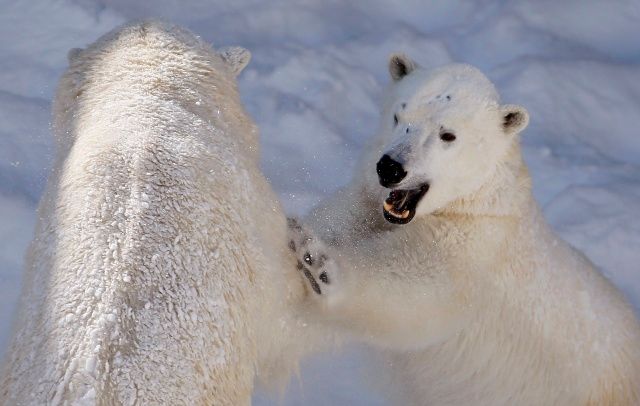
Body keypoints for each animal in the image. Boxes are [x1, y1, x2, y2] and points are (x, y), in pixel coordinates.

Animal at [290, 55, 640, 404]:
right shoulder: (368, 206)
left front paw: (318, 265)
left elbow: (412, 288)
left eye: (447, 135)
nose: (390, 167)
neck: (477, 202)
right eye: (398, 115)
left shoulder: (473, 248)